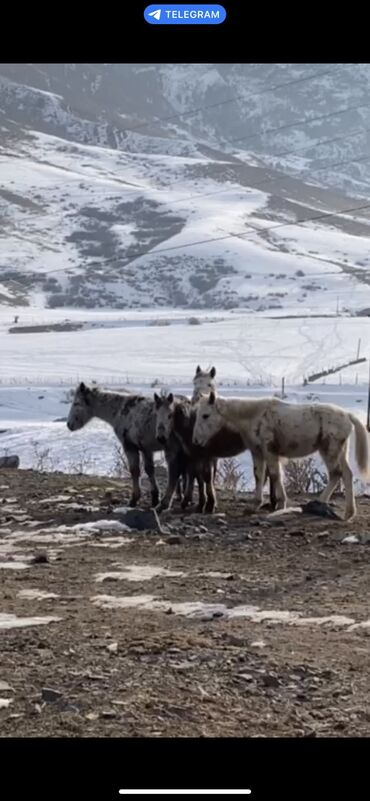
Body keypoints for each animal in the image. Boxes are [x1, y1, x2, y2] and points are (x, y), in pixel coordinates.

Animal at [192, 392, 368, 520]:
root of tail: (348, 415)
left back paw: (320, 502)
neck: (254, 416)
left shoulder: (270, 452)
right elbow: (259, 476)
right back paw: (349, 513)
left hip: (329, 451)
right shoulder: (257, 453)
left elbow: (275, 475)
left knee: (336, 474)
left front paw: (281, 505)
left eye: (206, 415)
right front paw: (253, 506)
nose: (196, 440)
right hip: (340, 452)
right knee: (347, 474)